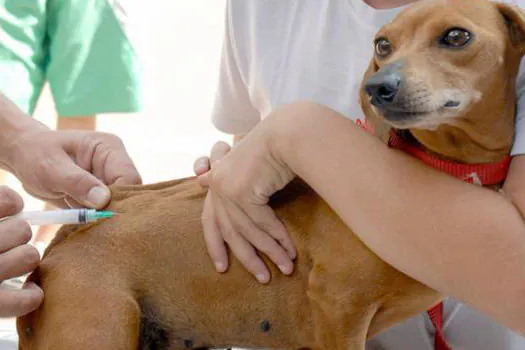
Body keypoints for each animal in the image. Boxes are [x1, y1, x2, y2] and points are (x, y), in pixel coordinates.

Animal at [16, 0, 524, 350]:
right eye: (383, 45)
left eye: (456, 36)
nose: (377, 87)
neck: (438, 167)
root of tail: (63, 240)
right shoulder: (338, 307)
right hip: (97, 329)